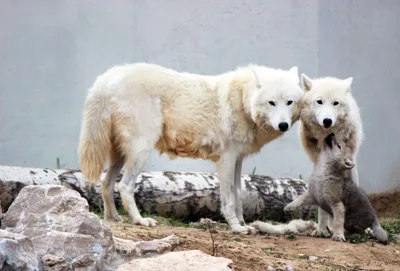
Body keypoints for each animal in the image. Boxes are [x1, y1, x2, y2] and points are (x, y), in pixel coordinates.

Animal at [78, 62, 304, 235]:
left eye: (289, 102)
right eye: (271, 103)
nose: (283, 125)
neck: (242, 101)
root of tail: (107, 78)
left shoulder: (238, 159)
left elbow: (238, 194)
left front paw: (244, 224)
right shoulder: (227, 159)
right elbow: (229, 199)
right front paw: (236, 227)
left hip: (120, 154)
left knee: (106, 183)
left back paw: (113, 218)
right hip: (140, 152)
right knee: (124, 186)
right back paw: (140, 220)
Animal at [296, 73, 362, 237]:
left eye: (335, 103)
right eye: (319, 101)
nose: (327, 121)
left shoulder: (350, 160)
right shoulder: (318, 164)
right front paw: (321, 230)